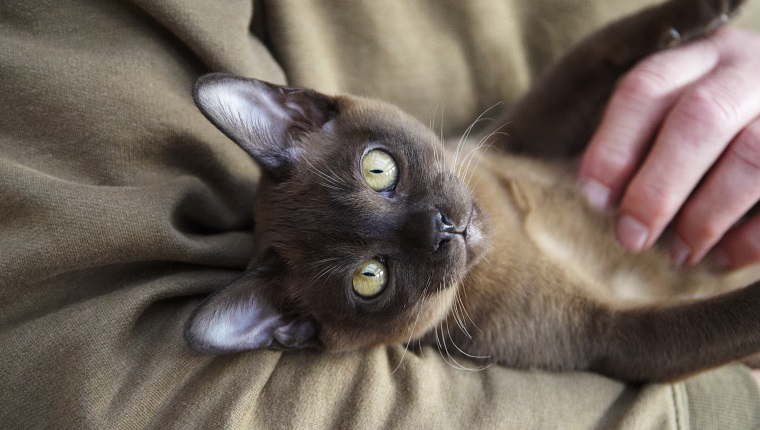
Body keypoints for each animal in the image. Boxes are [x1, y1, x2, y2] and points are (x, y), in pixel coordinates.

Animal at [184, 0, 760, 382]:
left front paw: (713, 10)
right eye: (370, 278)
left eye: (378, 170)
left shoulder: (526, 135)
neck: (507, 231)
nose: (440, 228)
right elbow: (730, 314)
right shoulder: (614, 334)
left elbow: (594, 54)